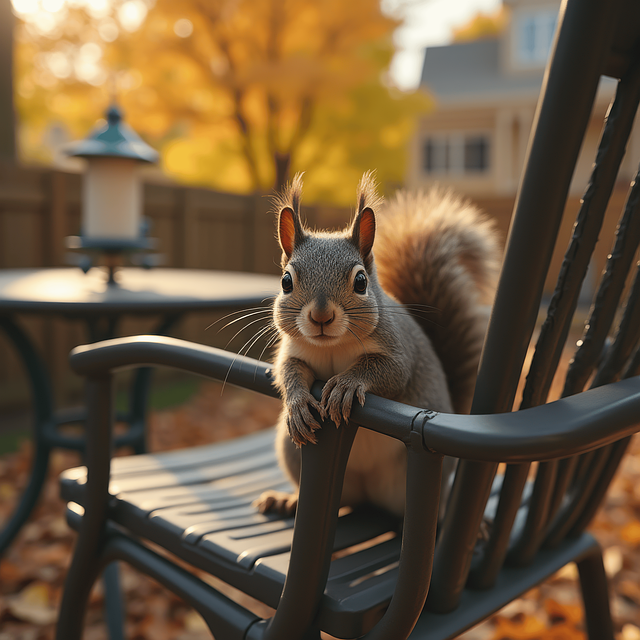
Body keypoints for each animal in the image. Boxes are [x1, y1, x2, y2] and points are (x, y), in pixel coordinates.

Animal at [253, 171, 500, 518]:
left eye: (361, 282)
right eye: (286, 281)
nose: (321, 316)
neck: (332, 347)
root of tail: (369, 495)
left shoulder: (398, 349)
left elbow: (390, 372)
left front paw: (345, 384)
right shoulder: (293, 351)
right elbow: (287, 371)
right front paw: (298, 403)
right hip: (293, 452)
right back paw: (288, 500)